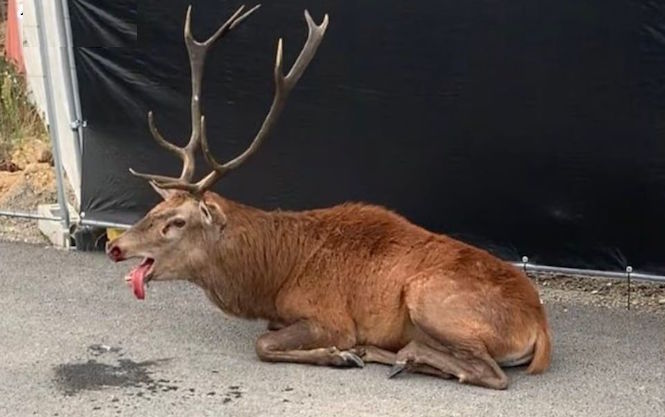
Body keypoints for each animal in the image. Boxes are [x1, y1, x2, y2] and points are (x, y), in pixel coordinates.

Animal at [105, 4, 548, 388]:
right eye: (154, 208)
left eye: (176, 222)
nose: (115, 246)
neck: (271, 278)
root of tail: (540, 326)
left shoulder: (330, 316)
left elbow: (263, 344)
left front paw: (339, 354)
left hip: (429, 297)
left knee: (490, 372)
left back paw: (403, 355)